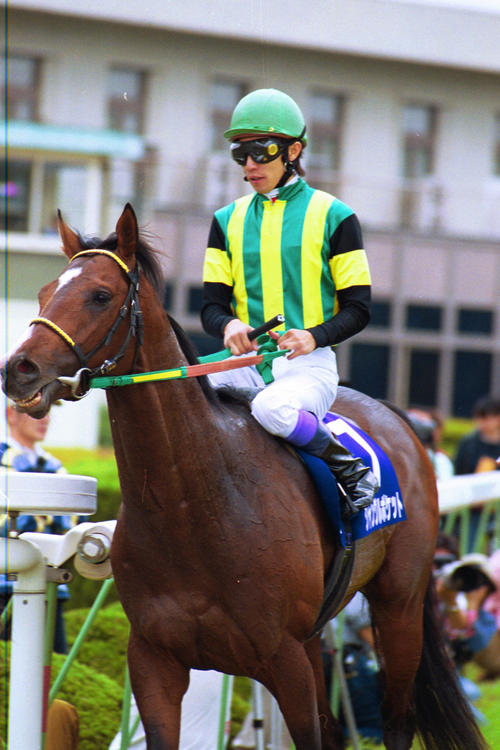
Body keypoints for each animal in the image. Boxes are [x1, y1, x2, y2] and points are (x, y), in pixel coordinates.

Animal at [2, 204, 487, 750]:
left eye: (100, 295)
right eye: (45, 292)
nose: (19, 369)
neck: (193, 505)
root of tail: (396, 416)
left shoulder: (285, 658)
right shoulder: (153, 659)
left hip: (399, 605)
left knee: (397, 721)